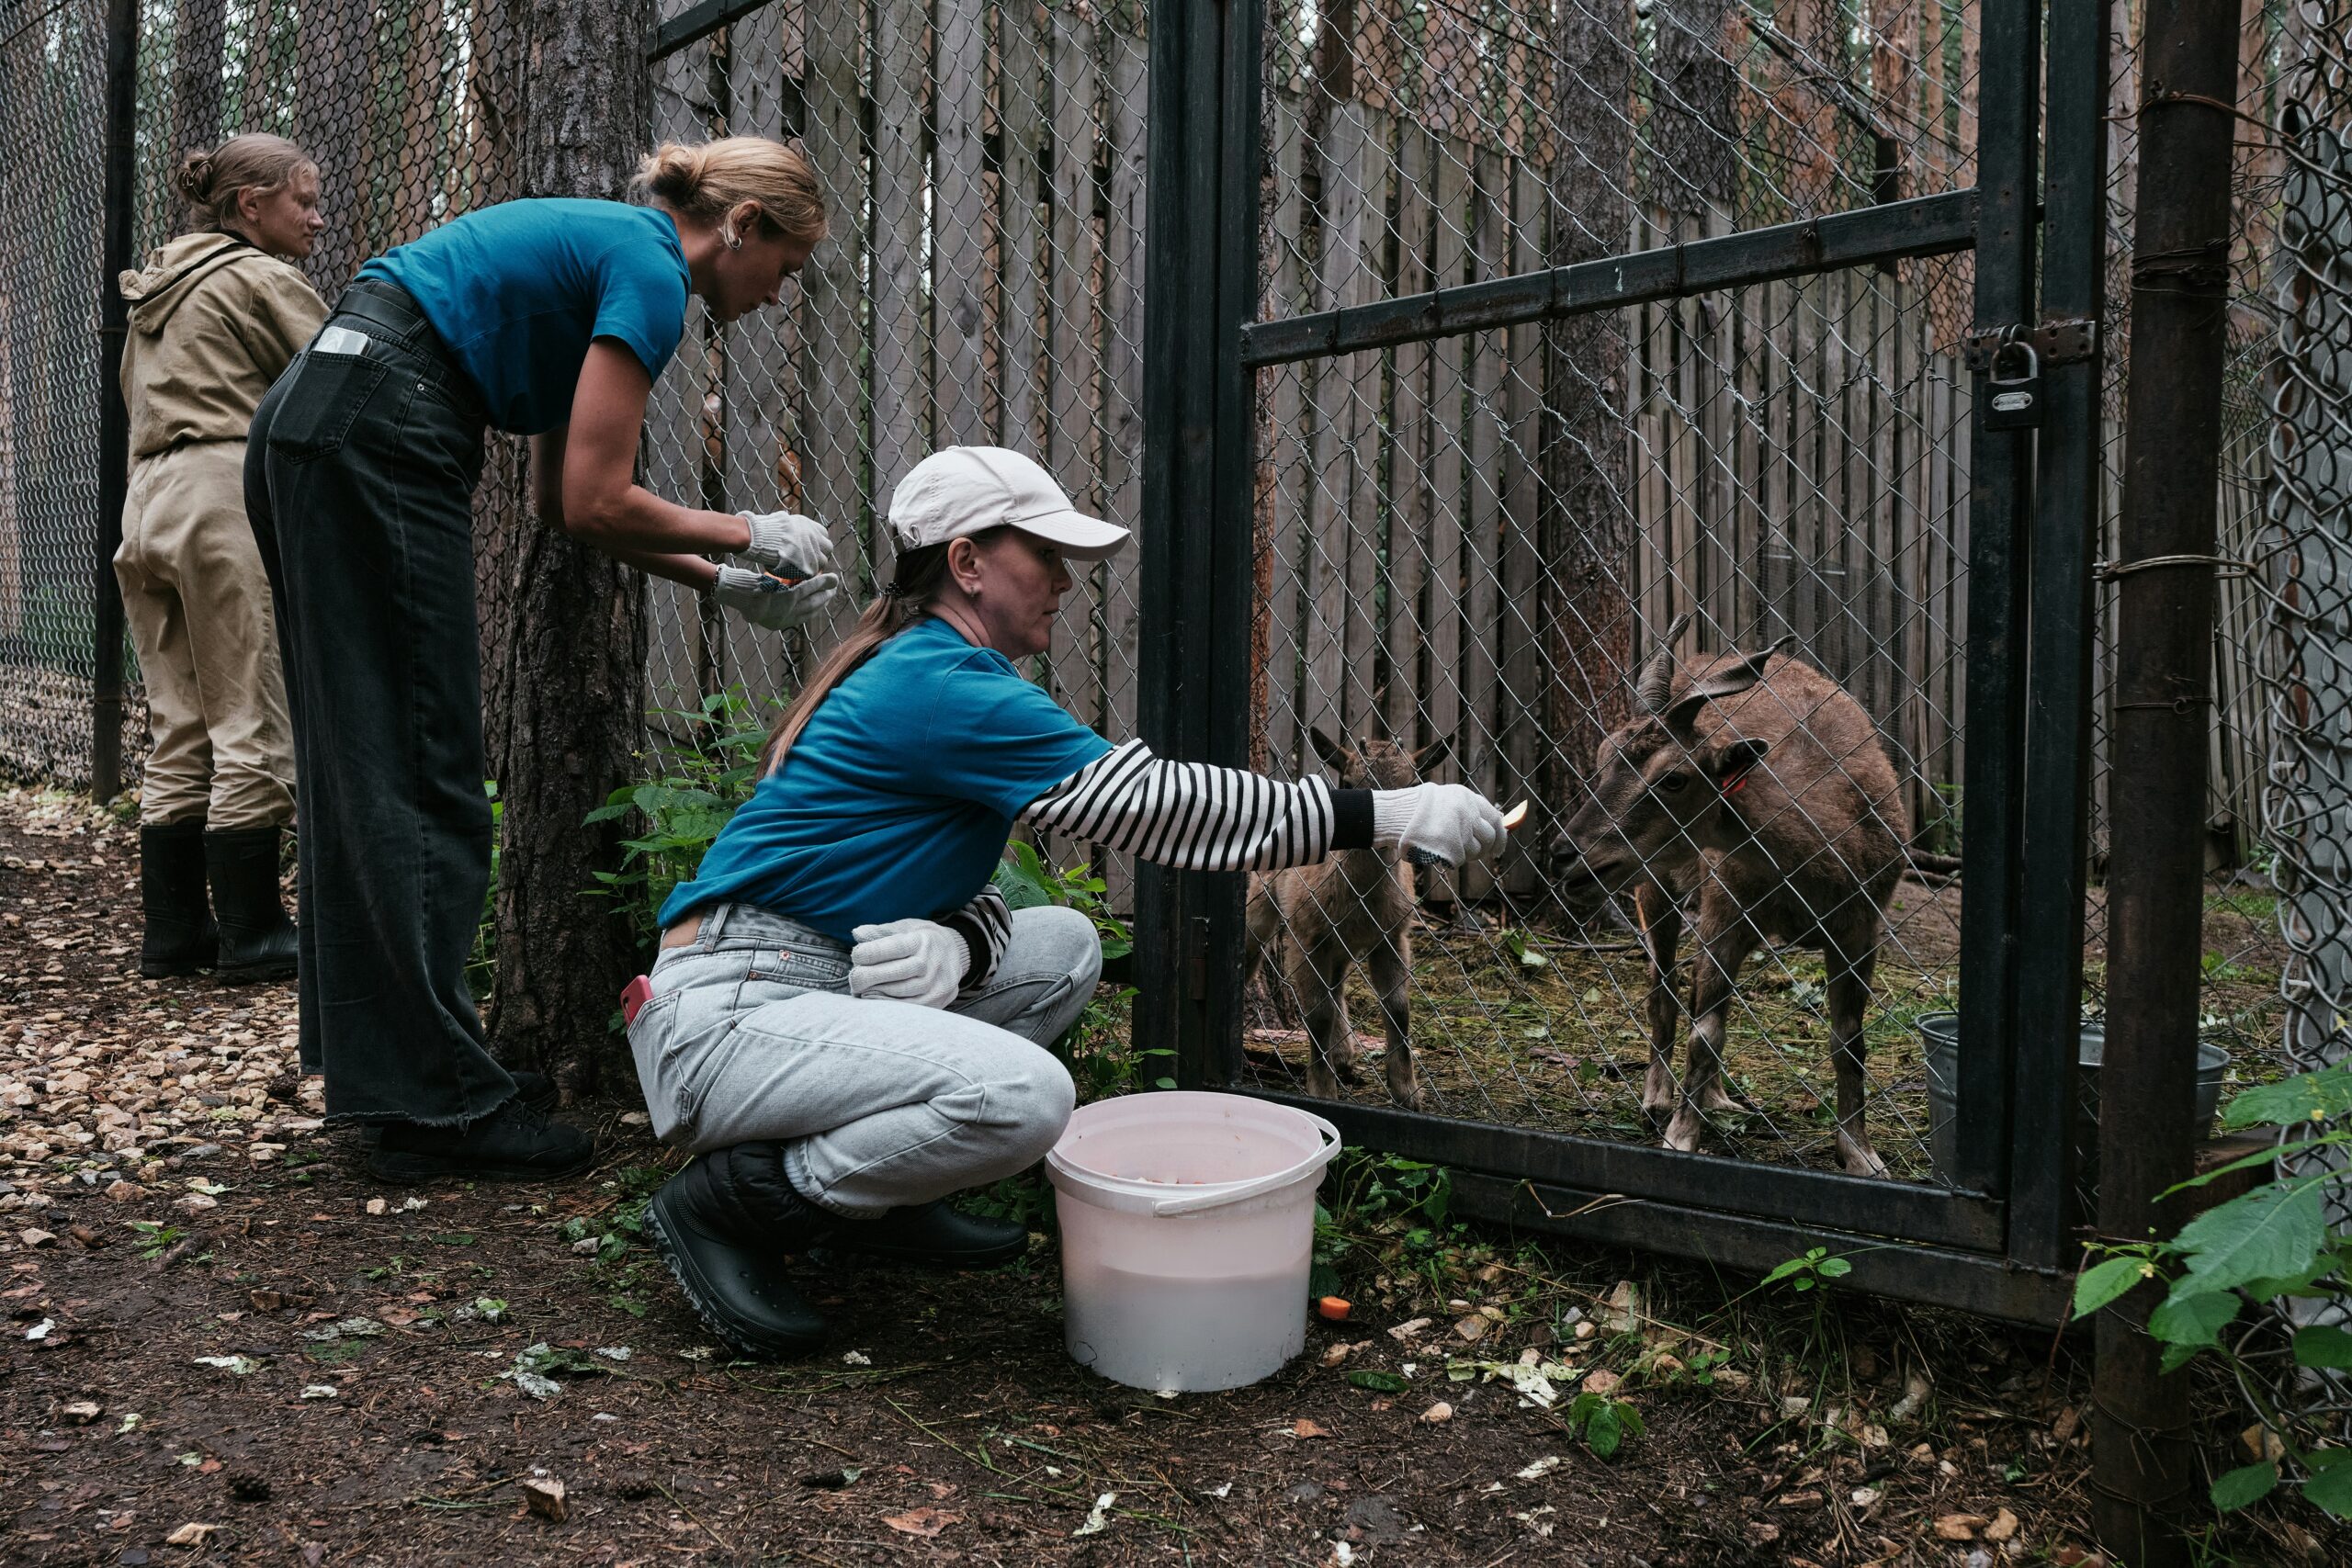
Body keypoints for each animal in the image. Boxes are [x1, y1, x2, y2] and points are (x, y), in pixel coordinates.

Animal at [1250, 728, 1430, 1109]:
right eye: (1348, 783)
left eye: (1412, 785)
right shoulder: (1307, 935)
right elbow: (1316, 1013)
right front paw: (1322, 1091)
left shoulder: (1393, 936)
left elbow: (1398, 1009)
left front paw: (1408, 1094)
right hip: (1261, 902)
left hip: (1340, 946)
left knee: (1336, 986)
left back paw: (1344, 1058)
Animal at [1552, 615, 1918, 1175]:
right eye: (1602, 757)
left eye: (1674, 778)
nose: (1565, 855)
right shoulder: (1724, 913)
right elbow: (1705, 1033)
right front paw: (1681, 1136)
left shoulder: (1860, 928)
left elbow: (1850, 1040)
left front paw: (1861, 1154)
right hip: (1655, 884)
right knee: (1664, 990)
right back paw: (1659, 1099)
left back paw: (1719, 1099)